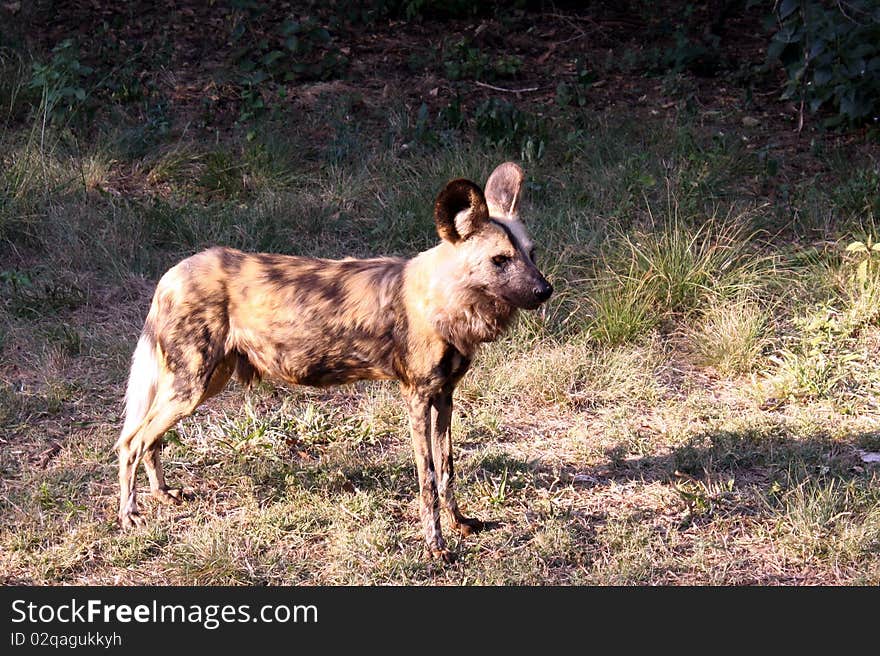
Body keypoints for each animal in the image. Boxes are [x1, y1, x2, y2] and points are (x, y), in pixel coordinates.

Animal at [118, 161, 552, 560]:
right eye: (500, 260)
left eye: (531, 254)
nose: (544, 290)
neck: (446, 300)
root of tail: (173, 273)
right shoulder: (417, 397)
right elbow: (428, 479)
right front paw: (436, 546)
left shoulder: (444, 396)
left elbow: (446, 470)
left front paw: (461, 524)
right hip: (189, 387)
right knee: (131, 442)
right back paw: (129, 514)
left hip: (203, 383)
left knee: (151, 439)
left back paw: (162, 494)